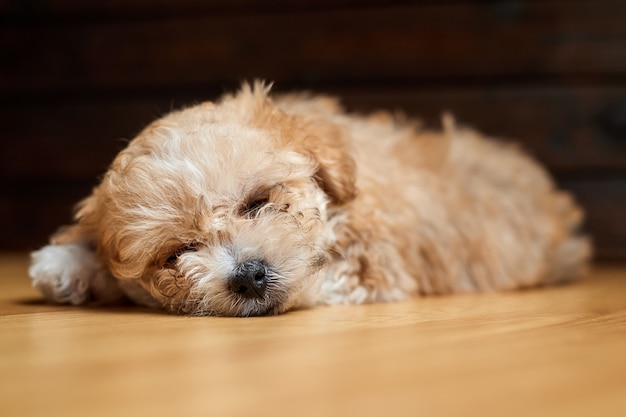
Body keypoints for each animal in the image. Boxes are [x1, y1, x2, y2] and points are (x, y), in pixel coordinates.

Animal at [26, 81, 588, 316]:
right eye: (176, 253)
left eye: (257, 201)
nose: (248, 275)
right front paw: (68, 264)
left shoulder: (373, 265)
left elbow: (317, 279)